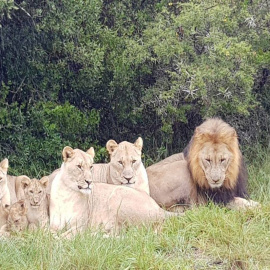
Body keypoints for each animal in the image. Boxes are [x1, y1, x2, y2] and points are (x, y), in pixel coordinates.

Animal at [49, 147, 179, 237]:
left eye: (91, 167)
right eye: (79, 166)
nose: (89, 181)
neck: (67, 193)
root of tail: (158, 208)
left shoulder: (81, 226)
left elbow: (64, 237)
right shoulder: (54, 225)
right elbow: (47, 235)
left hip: (117, 196)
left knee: (128, 233)